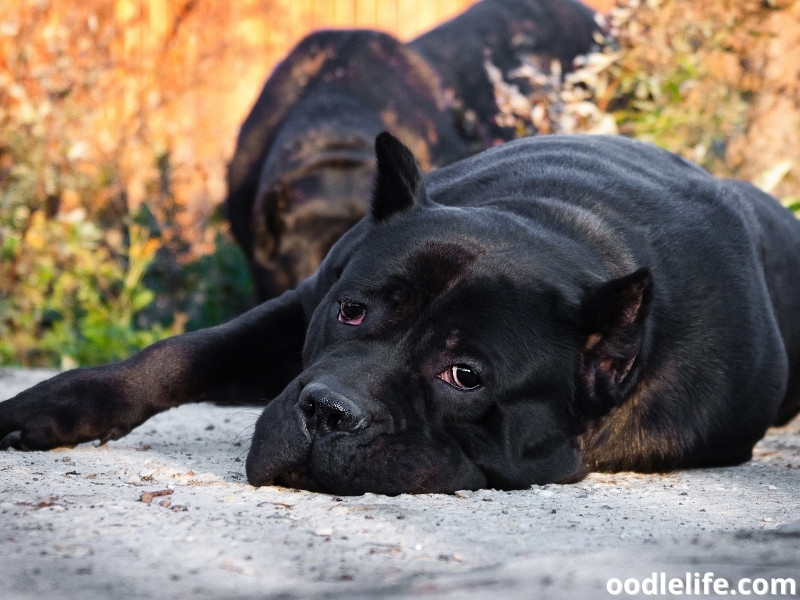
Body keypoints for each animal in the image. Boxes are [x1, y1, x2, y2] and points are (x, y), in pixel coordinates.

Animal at [1, 134, 800, 494]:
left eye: (465, 375)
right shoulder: (301, 304)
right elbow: (185, 351)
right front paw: (50, 407)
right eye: (352, 312)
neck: (557, 225)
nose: (327, 412)